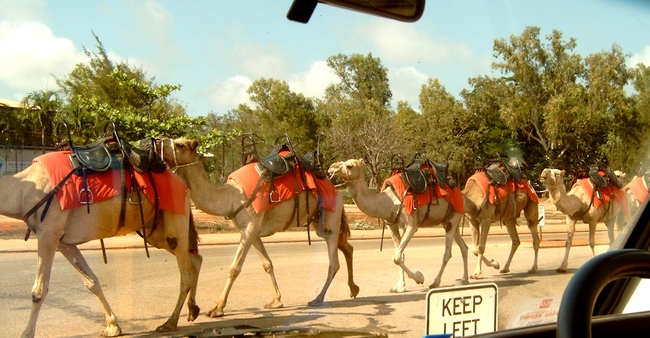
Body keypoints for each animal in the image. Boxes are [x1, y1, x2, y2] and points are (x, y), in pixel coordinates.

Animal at [1, 154, 201, 338]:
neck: (23, 192)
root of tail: (184, 186)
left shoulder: (48, 233)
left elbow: (39, 291)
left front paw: (26, 333)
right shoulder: (63, 241)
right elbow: (92, 282)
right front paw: (113, 326)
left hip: (175, 217)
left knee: (185, 272)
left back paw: (170, 323)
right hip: (156, 231)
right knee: (194, 258)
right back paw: (193, 310)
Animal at [156, 136, 360, 318]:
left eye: (180, 144)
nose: (157, 140)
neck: (231, 196)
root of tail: (336, 190)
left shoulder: (250, 227)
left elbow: (234, 268)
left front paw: (217, 308)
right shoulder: (251, 231)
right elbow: (267, 264)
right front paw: (276, 301)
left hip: (330, 216)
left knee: (334, 262)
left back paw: (318, 299)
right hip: (320, 223)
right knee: (347, 247)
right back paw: (353, 289)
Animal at [326, 158, 468, 290]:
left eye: (350, 166)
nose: (331, 167)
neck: (389, 201)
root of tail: (459, 192)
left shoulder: (411, 225)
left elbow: (397, 257)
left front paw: (419, 277)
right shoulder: (391, 225)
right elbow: (400, 255)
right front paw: (399, 287)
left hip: (454, 215)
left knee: (447, 253)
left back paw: (435, 283)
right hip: (449, 220)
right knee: (464, 247)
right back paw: (465, 279)